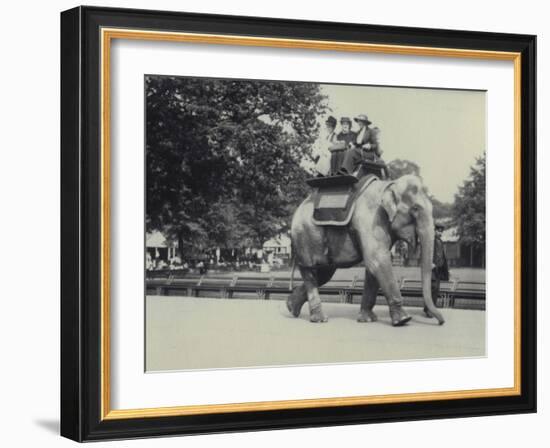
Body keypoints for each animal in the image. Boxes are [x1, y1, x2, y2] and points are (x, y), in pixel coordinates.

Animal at [288, 174, 448, 326]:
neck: (390, 184)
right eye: (415, 209)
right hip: (305, 234)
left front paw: (368, 319)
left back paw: (291, 307)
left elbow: (373, 267)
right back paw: (319, 319)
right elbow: (377, 260)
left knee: (324, 273)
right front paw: (404, 320)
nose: (441, 322)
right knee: (310, 270)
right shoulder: (370, 219)